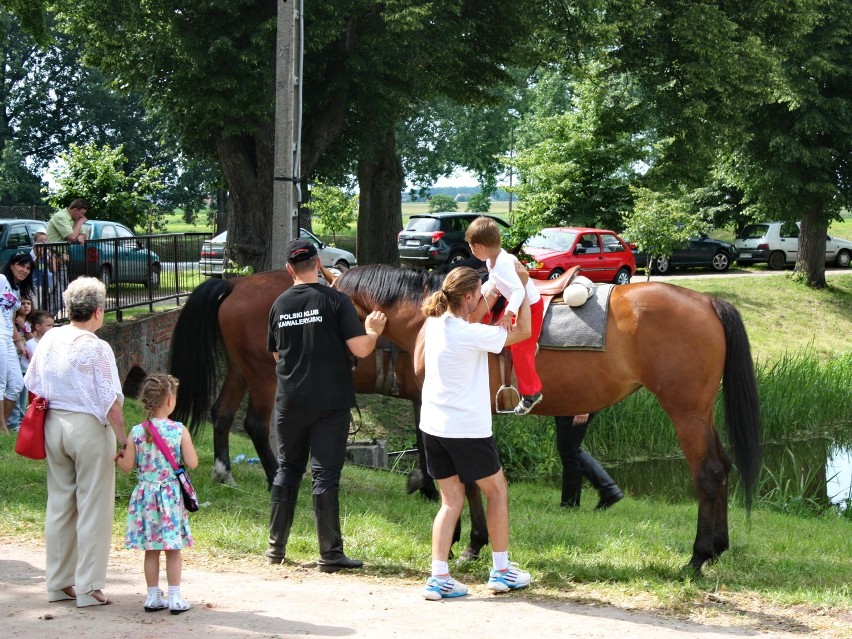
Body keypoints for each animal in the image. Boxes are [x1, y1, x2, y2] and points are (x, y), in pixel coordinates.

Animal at [332, 262, 760, 572]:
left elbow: (468, 481)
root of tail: (707, 302)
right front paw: (464, 539)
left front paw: (469, 543)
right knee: (723, 467)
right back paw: (718, 548)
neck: (440, 318)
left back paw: (698, 557)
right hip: (700, 412)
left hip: (685, 411)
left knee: (707, 472)